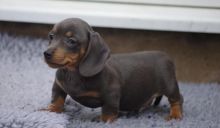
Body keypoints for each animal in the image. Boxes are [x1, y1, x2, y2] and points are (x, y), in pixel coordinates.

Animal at [43, 17, 184, 122]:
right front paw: (51, 110)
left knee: (177, 99)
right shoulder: (58, 86)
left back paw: (175, 115)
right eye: (51, 36)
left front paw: (104, 121)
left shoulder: (111, 94)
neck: (73, 73)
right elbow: (57, 99)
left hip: (169, 85)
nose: (46, 53)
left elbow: (108, 111)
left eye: (71, 40)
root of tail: (165, 55)